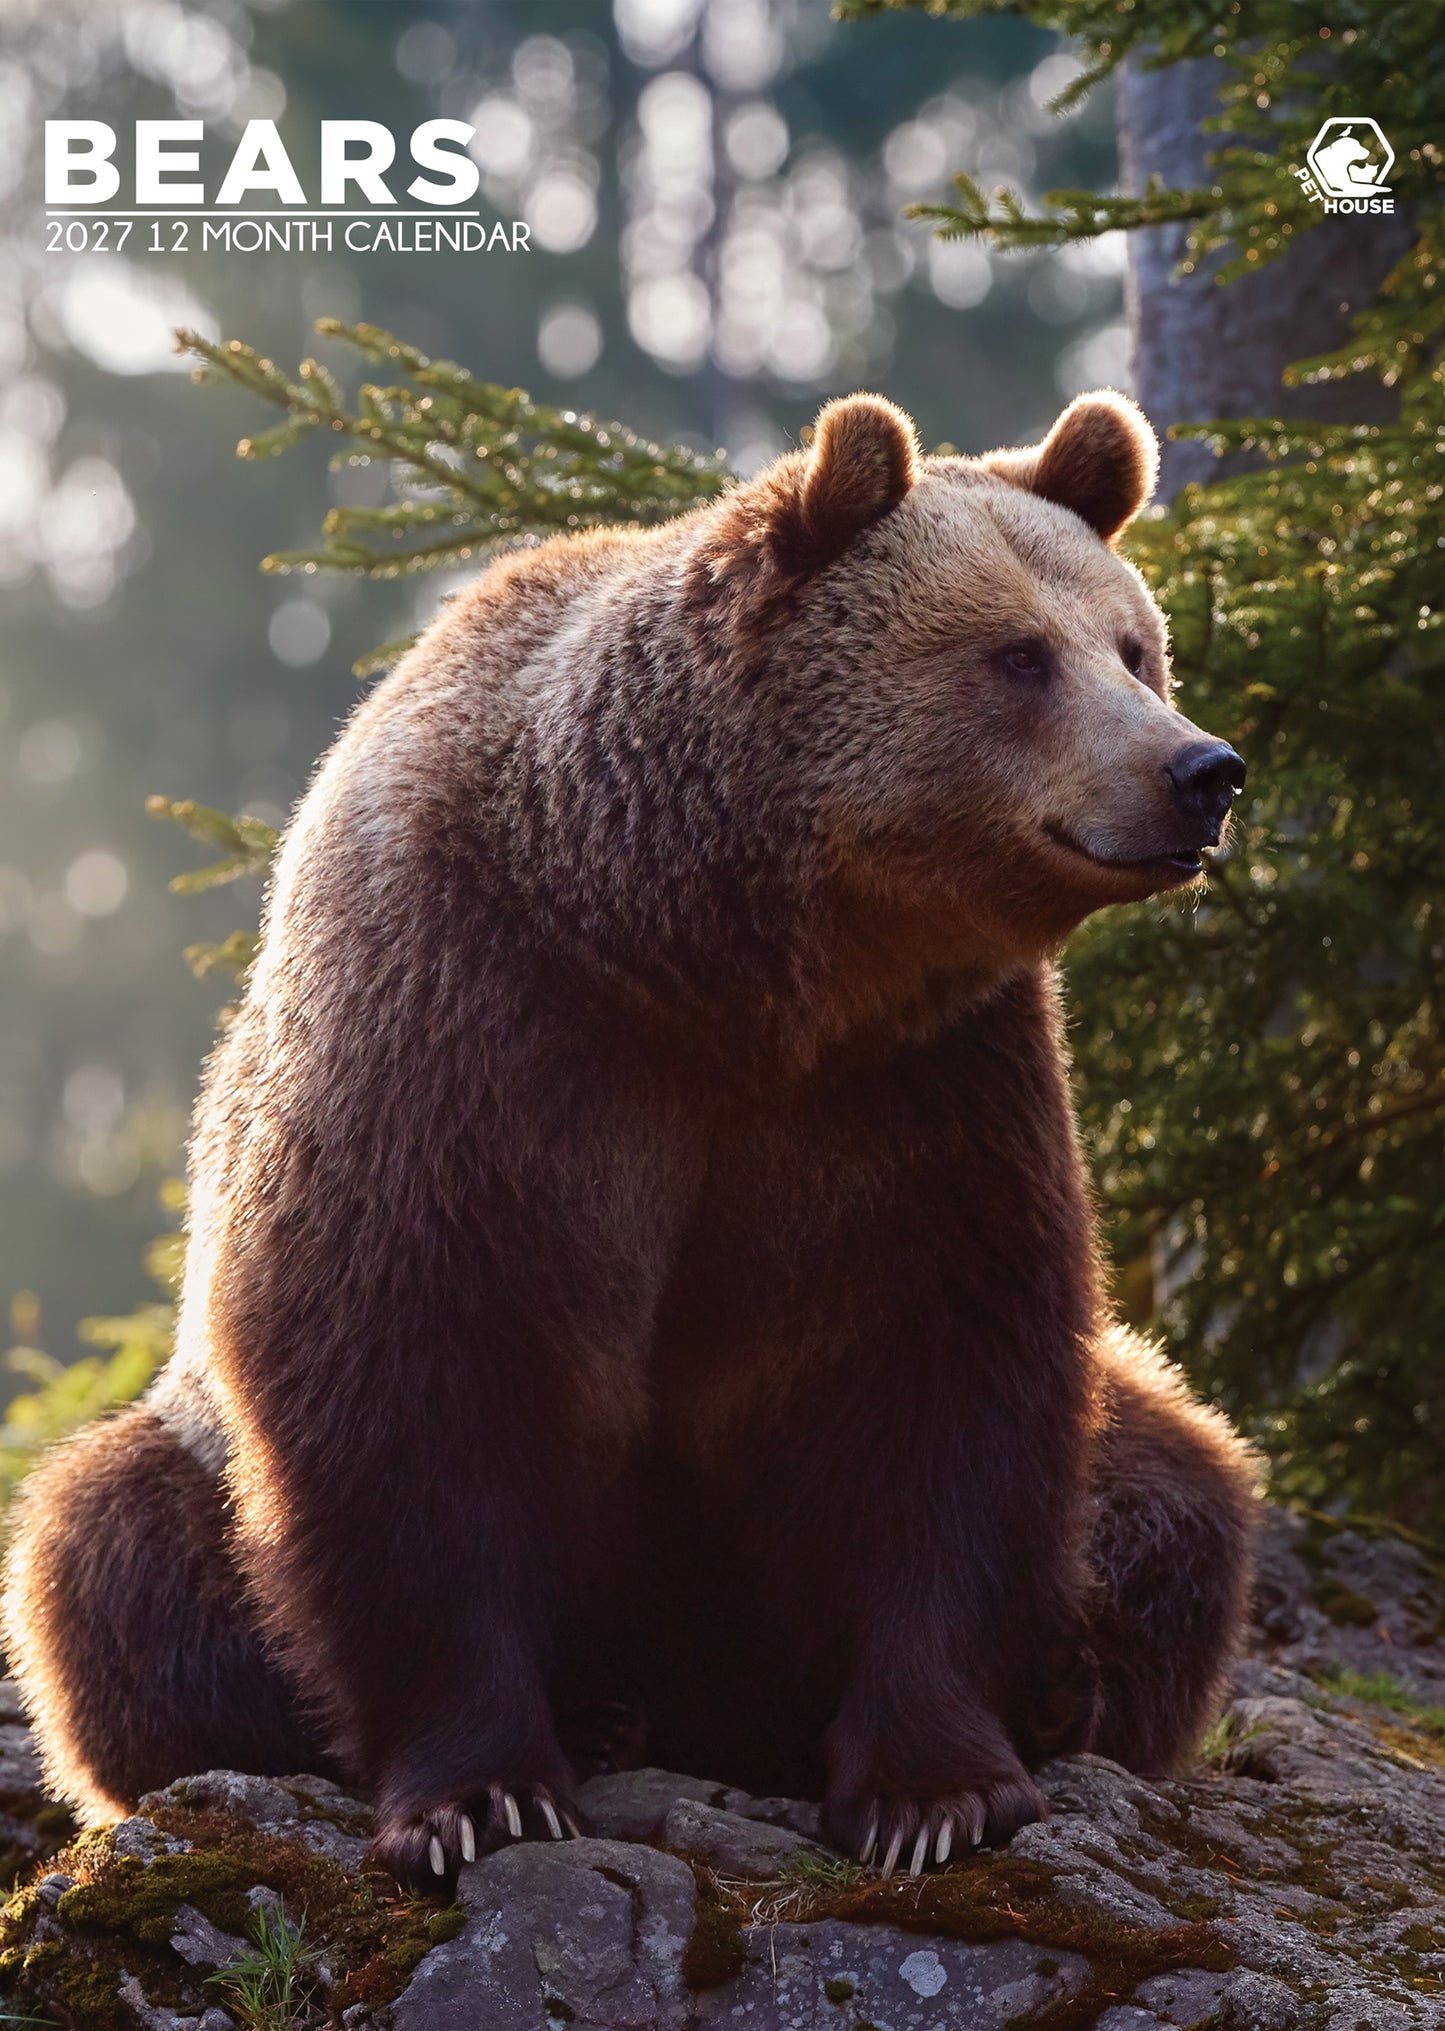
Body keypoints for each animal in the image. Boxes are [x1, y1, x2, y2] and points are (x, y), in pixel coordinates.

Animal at [2, 388, 1259, 1885]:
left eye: (1132, 645)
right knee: (105, 1556)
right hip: (185, 1462)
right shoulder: (472, 1035)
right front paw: (480, 1792)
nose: (1200, 768)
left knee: (1174, 1485)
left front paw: (932, 1788)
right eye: (1019, 654)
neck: (704, 955)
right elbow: (412, 1381)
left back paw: (1071, 1683)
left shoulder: (916, 1088)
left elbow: (941, 1381)